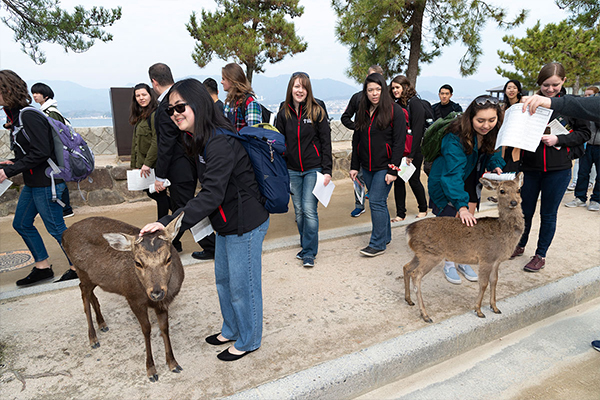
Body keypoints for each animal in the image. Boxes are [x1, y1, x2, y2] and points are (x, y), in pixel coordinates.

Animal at [61, 212, 185, 382]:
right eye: (138, 262)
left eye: (168, 258)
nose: (156, 292)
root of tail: (64, 235)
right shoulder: (133, 299)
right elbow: (146, 329)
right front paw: (151, 370)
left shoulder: (162, 303)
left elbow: (164, 328)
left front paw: (173, 363)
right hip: (81, 270)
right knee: (84, 294)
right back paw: (93, 338)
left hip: (93, 277)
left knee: (90, 293)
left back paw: (102, 323)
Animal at [404, 173, 524, 324]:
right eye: (502, 191)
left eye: (518, 190)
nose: (514, 202)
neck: (503, 233)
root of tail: (409, 230)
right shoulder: (486, 258)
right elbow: (483, 283)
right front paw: (478, 310)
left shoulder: (496, 261)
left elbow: (494, 281)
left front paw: (495, 307)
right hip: (430, 254)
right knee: (416, 275)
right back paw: (425, 315)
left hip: (420, 254)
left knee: (406, 267)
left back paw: (408, 300)